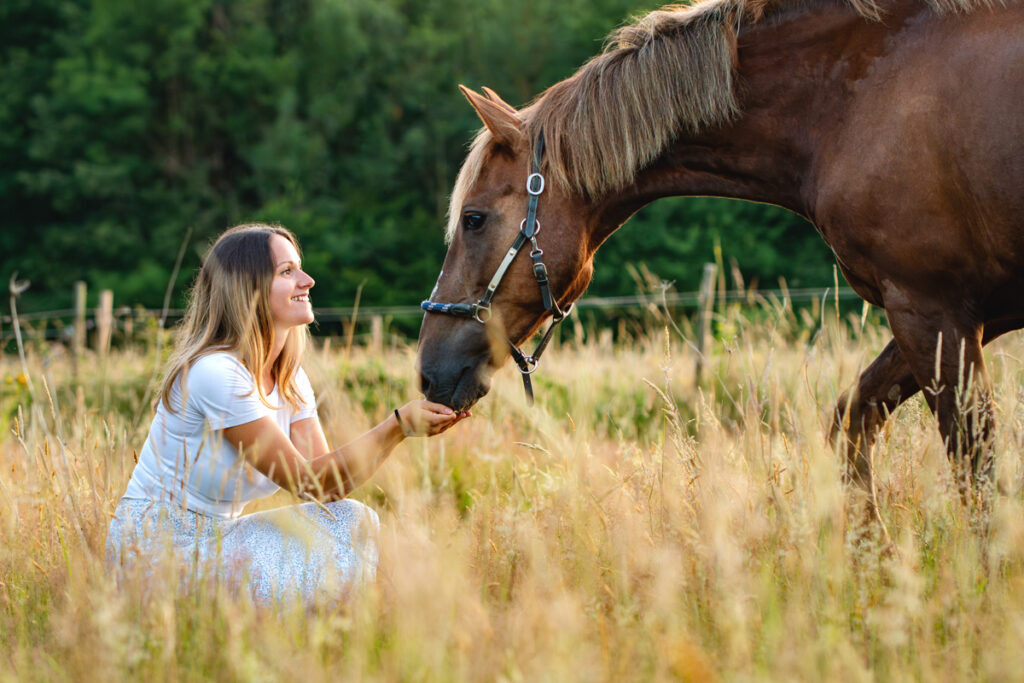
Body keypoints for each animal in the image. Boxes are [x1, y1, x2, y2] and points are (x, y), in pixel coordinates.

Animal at [416, 0, 1024, 493]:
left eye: (473, 219)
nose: (427, 373)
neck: (848, 102)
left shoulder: (932, 311)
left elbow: (976, 472)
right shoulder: (960, 317)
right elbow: (851, 423)